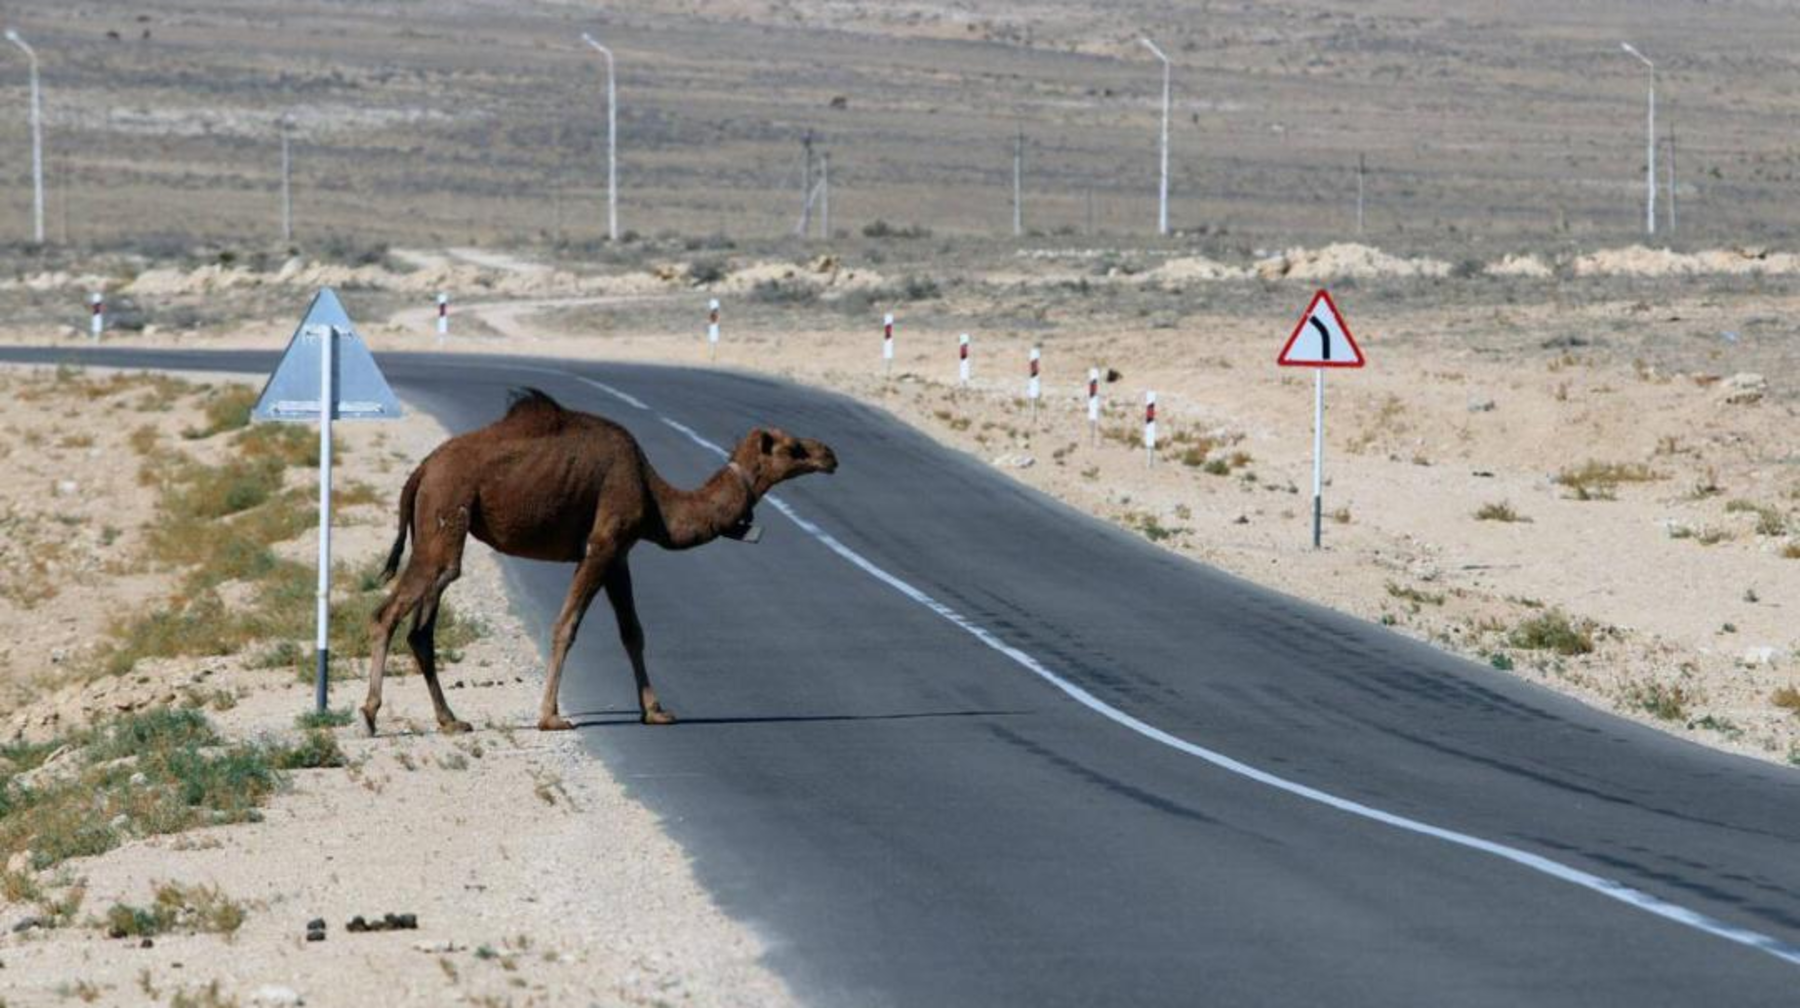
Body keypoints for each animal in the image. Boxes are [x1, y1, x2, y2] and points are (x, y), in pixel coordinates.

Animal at [367, 385, 842, 730]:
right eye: (794, 448)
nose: (830, 454)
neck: (655, 500)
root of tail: (421, 471)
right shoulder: (602, 544)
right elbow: (567, 626)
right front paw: (551, 717)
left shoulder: (619, 557)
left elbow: (633, 632)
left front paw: (655, 710)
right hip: (448, 509)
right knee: (392, 609)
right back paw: (371, 714)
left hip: (439, 526)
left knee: (421, 629)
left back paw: (451, 720)